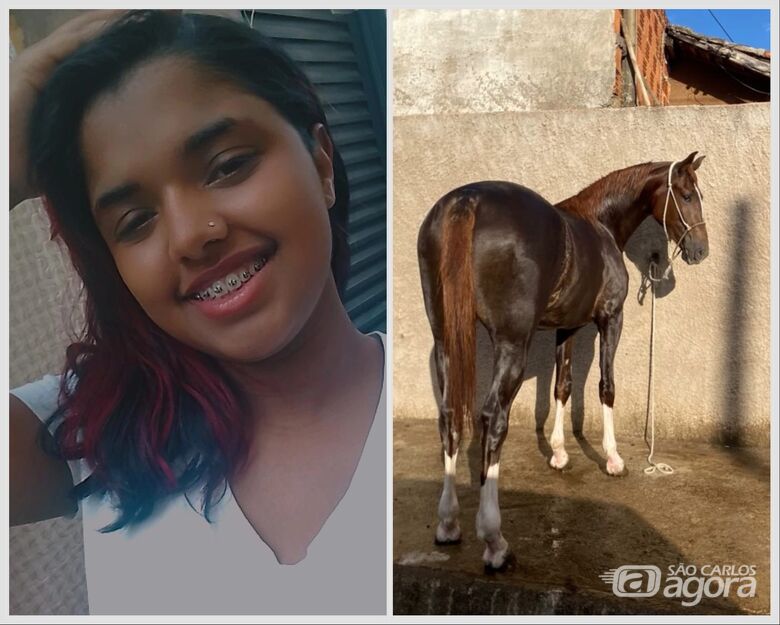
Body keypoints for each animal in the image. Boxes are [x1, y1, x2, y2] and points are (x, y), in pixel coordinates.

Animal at [417, 151, 708, 570]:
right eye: (685, 195)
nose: (700, 250)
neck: (601, 223)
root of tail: (466, 202)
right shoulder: (610, 319)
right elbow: (606, 387)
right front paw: (613, 459)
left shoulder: (566, 327)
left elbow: (562, 386)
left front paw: (558, 453)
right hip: (512, 344)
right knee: (493, 419)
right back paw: (494, 540)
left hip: (445, 340)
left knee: (449, 417)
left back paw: (448, 523)